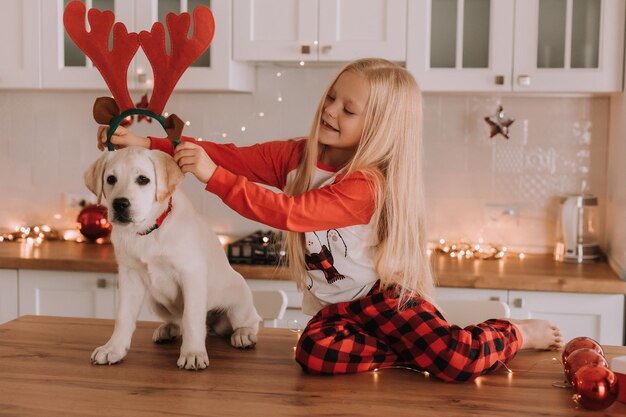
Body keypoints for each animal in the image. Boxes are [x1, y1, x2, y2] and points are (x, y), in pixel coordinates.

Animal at [84, 147, 260, 370]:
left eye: (143, 179)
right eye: (111, 179)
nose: (120, 204)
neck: (148, 231)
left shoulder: (191, 273)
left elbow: (192, 317)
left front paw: (193, 353)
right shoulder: (129, 275)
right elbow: (123, 316)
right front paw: (113, 349)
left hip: (239, 301)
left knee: (250, 320)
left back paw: (244, 335)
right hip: (154, 301)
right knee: (178, 322)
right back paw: (167, 330)